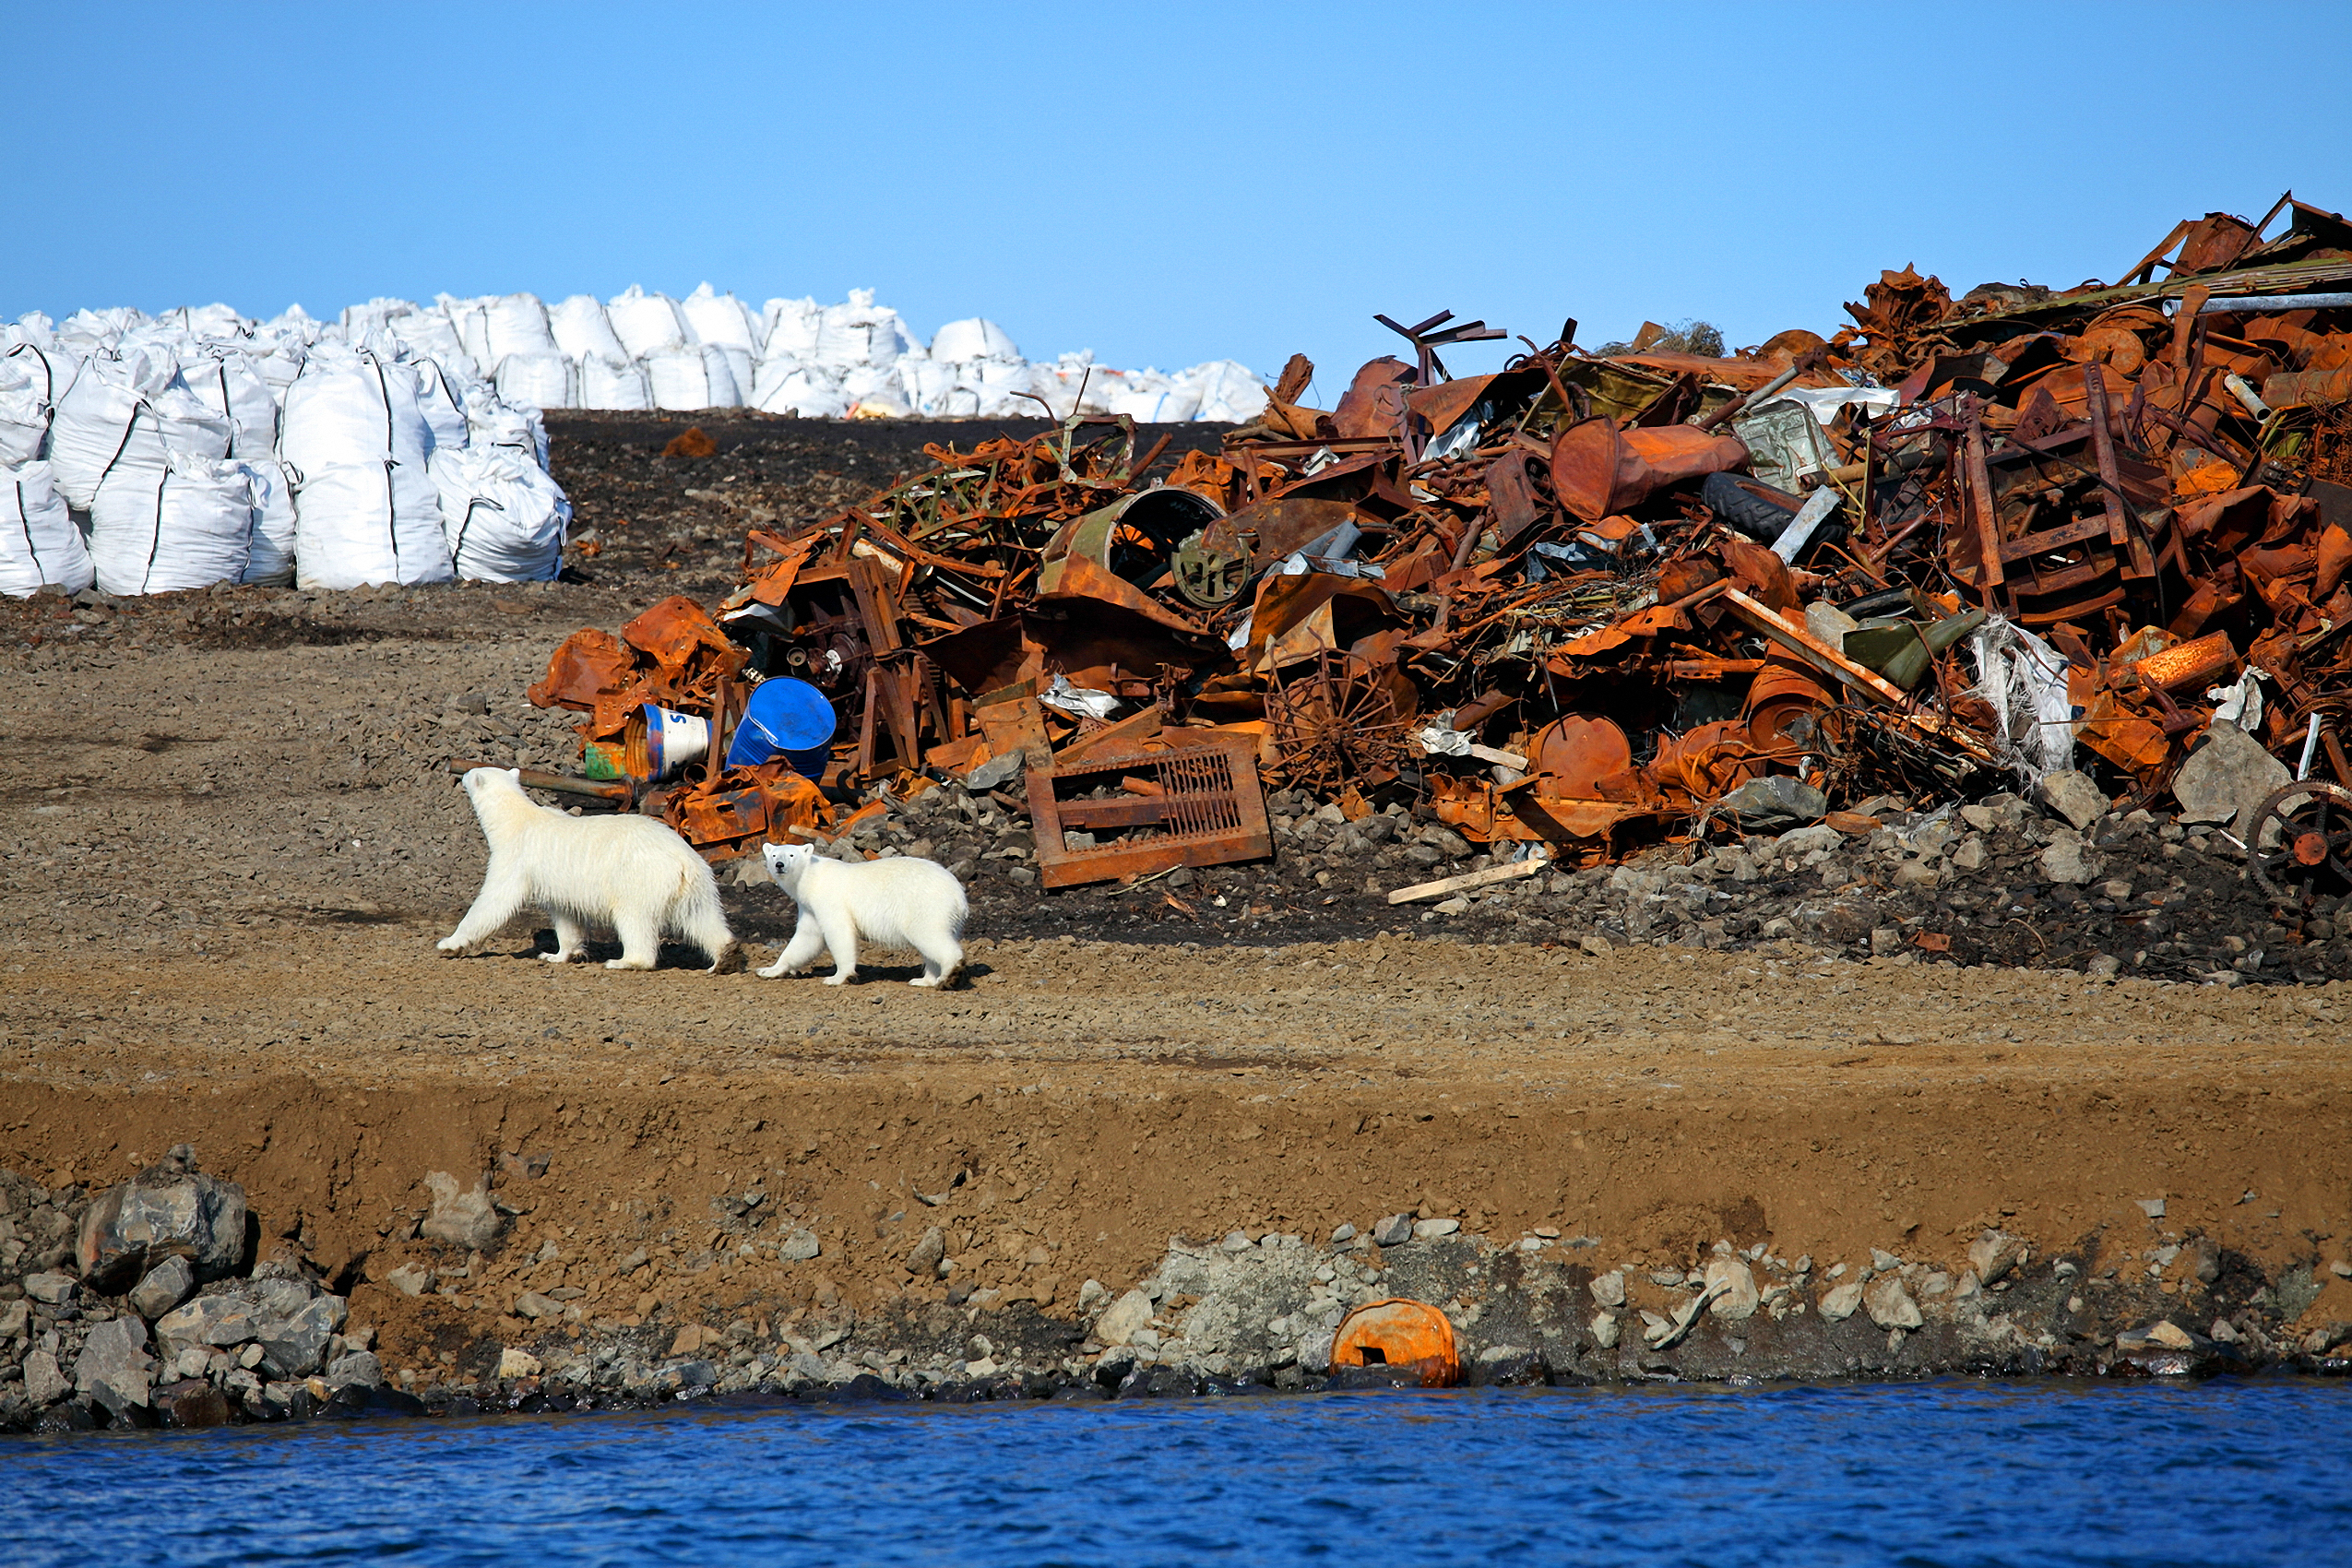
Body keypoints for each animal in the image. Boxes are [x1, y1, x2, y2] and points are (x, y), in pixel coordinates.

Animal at [437, 770, 733, 973]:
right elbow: (565, 915)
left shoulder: (515, 858)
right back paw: (725, 956)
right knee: (702, 916)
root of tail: (684, 859)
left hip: (640, 876)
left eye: (473, 771)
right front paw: (556, 955)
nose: (462, 775)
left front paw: (449, 944)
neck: (514, 818)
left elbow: (494, 900)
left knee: (633, 917)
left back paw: (623, 961)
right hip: (697, 884)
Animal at [762, 841, 964, 987]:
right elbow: (807, 937)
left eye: (791, 855)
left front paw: (837, 978)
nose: (779, 865)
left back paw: (949, 974)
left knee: (927, 933)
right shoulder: (808, 906)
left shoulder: (830, 897)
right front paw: (769, 970)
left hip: (926, 903)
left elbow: (838, 931)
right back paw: (924, 980)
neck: (811, 879)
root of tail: (958, 893)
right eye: (774, 855)